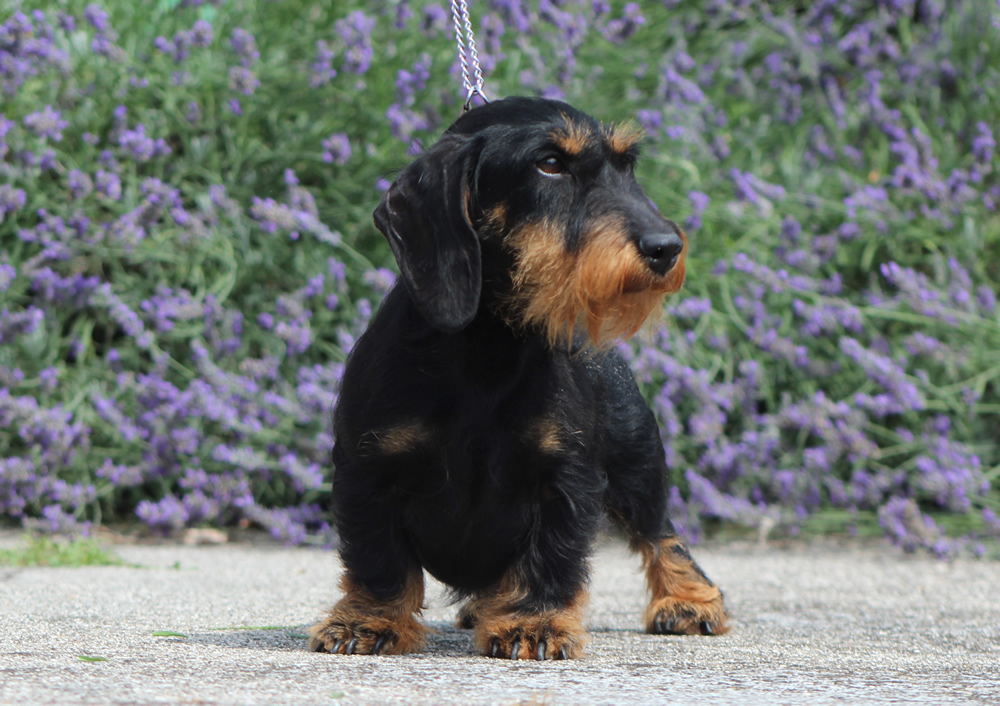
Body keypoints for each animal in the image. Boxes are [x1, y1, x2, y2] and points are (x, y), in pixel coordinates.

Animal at [308, 96, 732, 656]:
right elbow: (380, 561)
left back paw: (688, 601)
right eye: (549, 164)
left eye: (627, 166)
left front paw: (533, 623)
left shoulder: (563, 479)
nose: (666, 248)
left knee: (661, 533)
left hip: (638, 465)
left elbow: (549, 557)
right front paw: (368, 621)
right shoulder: (367, 470)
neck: (488, 350)